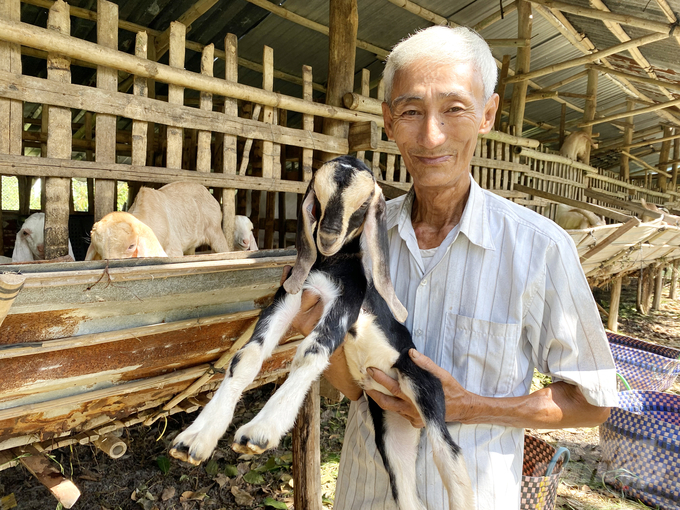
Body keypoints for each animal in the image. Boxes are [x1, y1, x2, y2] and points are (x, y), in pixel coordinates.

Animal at [171, 155, 472, 510]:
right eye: (318, 195)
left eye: (364, 204)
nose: (327, 237)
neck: (332, 264)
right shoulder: (291, 296)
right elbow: (247, 357)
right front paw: (196, 438)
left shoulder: (344, 304)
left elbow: (309, 354)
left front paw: (261, 429)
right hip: (391, 431)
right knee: (408, 494)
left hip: (421, 386)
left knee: (449, 454)